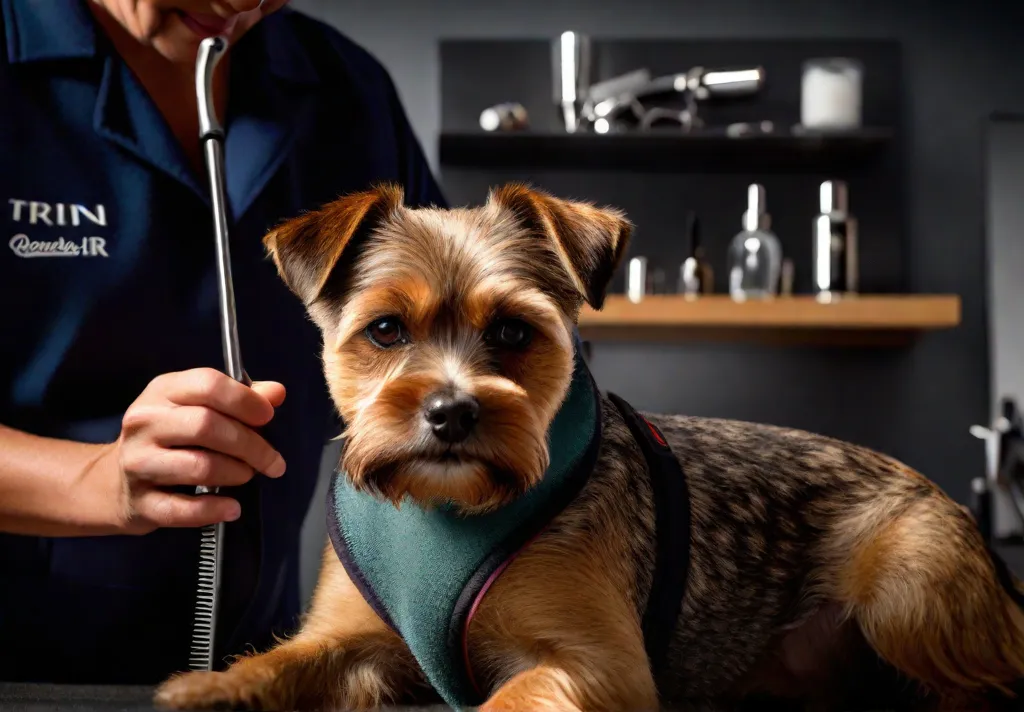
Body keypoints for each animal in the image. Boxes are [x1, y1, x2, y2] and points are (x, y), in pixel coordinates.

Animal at [155, 183, 1024, 712]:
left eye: (514, 331)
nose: (450, 412)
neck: (450, 509)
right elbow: (280, 665)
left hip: (909, 588)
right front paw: (210, 687)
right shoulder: (349, 641)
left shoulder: (597, 665)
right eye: (386, 330)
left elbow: (510, 696)